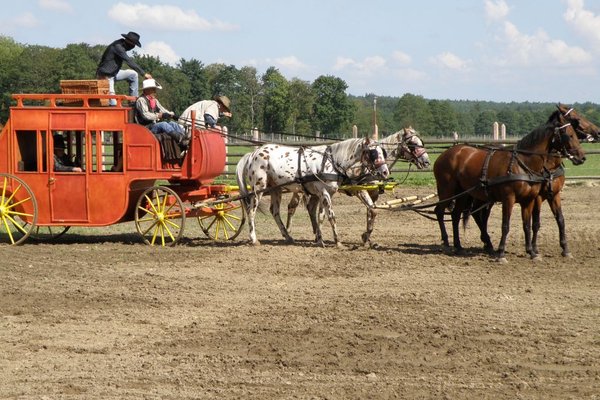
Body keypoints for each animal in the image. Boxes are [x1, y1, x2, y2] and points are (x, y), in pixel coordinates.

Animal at [236, 137, 390, 247]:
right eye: (373, 153)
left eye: (383, 152)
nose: (385, 172)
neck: (332, 161)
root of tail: (252, 154)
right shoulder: (325, 193)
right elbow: (331, 216)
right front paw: (338, 241)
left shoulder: (325, 193)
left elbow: (321, 216)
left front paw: (320, 239)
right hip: (258, 188)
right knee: (251, 211)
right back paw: (254, 239)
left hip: (275, 189)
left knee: (275, 211)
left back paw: (288, 237)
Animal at [284, 127, 428, 247]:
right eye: (413, 144)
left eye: (421, 142)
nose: (426, 162)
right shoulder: (361, 191)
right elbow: (371, 211)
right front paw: (365, 237)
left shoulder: (373, 194)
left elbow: (371, 212)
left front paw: (368, 239)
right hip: (299, 190)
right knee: (292, 207)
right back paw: (289, 233)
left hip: (314, 192)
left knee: (311, 208)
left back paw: (315, 235)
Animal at [434, 108, 588, 260]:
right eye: (569, 135)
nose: (582, 157)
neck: (524, 163)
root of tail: (444, 154)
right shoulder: (510, 198)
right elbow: (507, 225)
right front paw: (502, 253)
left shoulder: (531, 199)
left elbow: (530, 224)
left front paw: (532, 252)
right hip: (447, 191)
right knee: (440, 211)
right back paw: (447, 242)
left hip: (464, 194)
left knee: (456, 215)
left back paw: (460, 246)